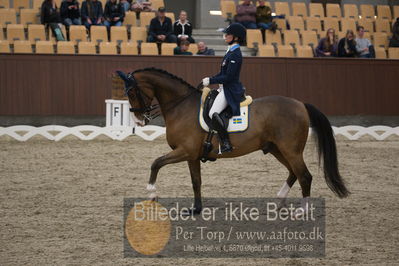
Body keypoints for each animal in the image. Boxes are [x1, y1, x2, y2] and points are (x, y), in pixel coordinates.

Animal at [116, 68, 350, 214]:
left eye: (132, 92)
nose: (140, 120)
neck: (181, 106)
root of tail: (300, 104)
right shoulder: (192, 155)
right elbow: (196, 182)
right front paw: (196, 209)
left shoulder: (185, 151)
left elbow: (156, 163)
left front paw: (151, 192)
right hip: (277, 148)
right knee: (294, 172)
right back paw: (279, 200)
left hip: (290, 149)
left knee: (305, 176)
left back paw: (302, 211)